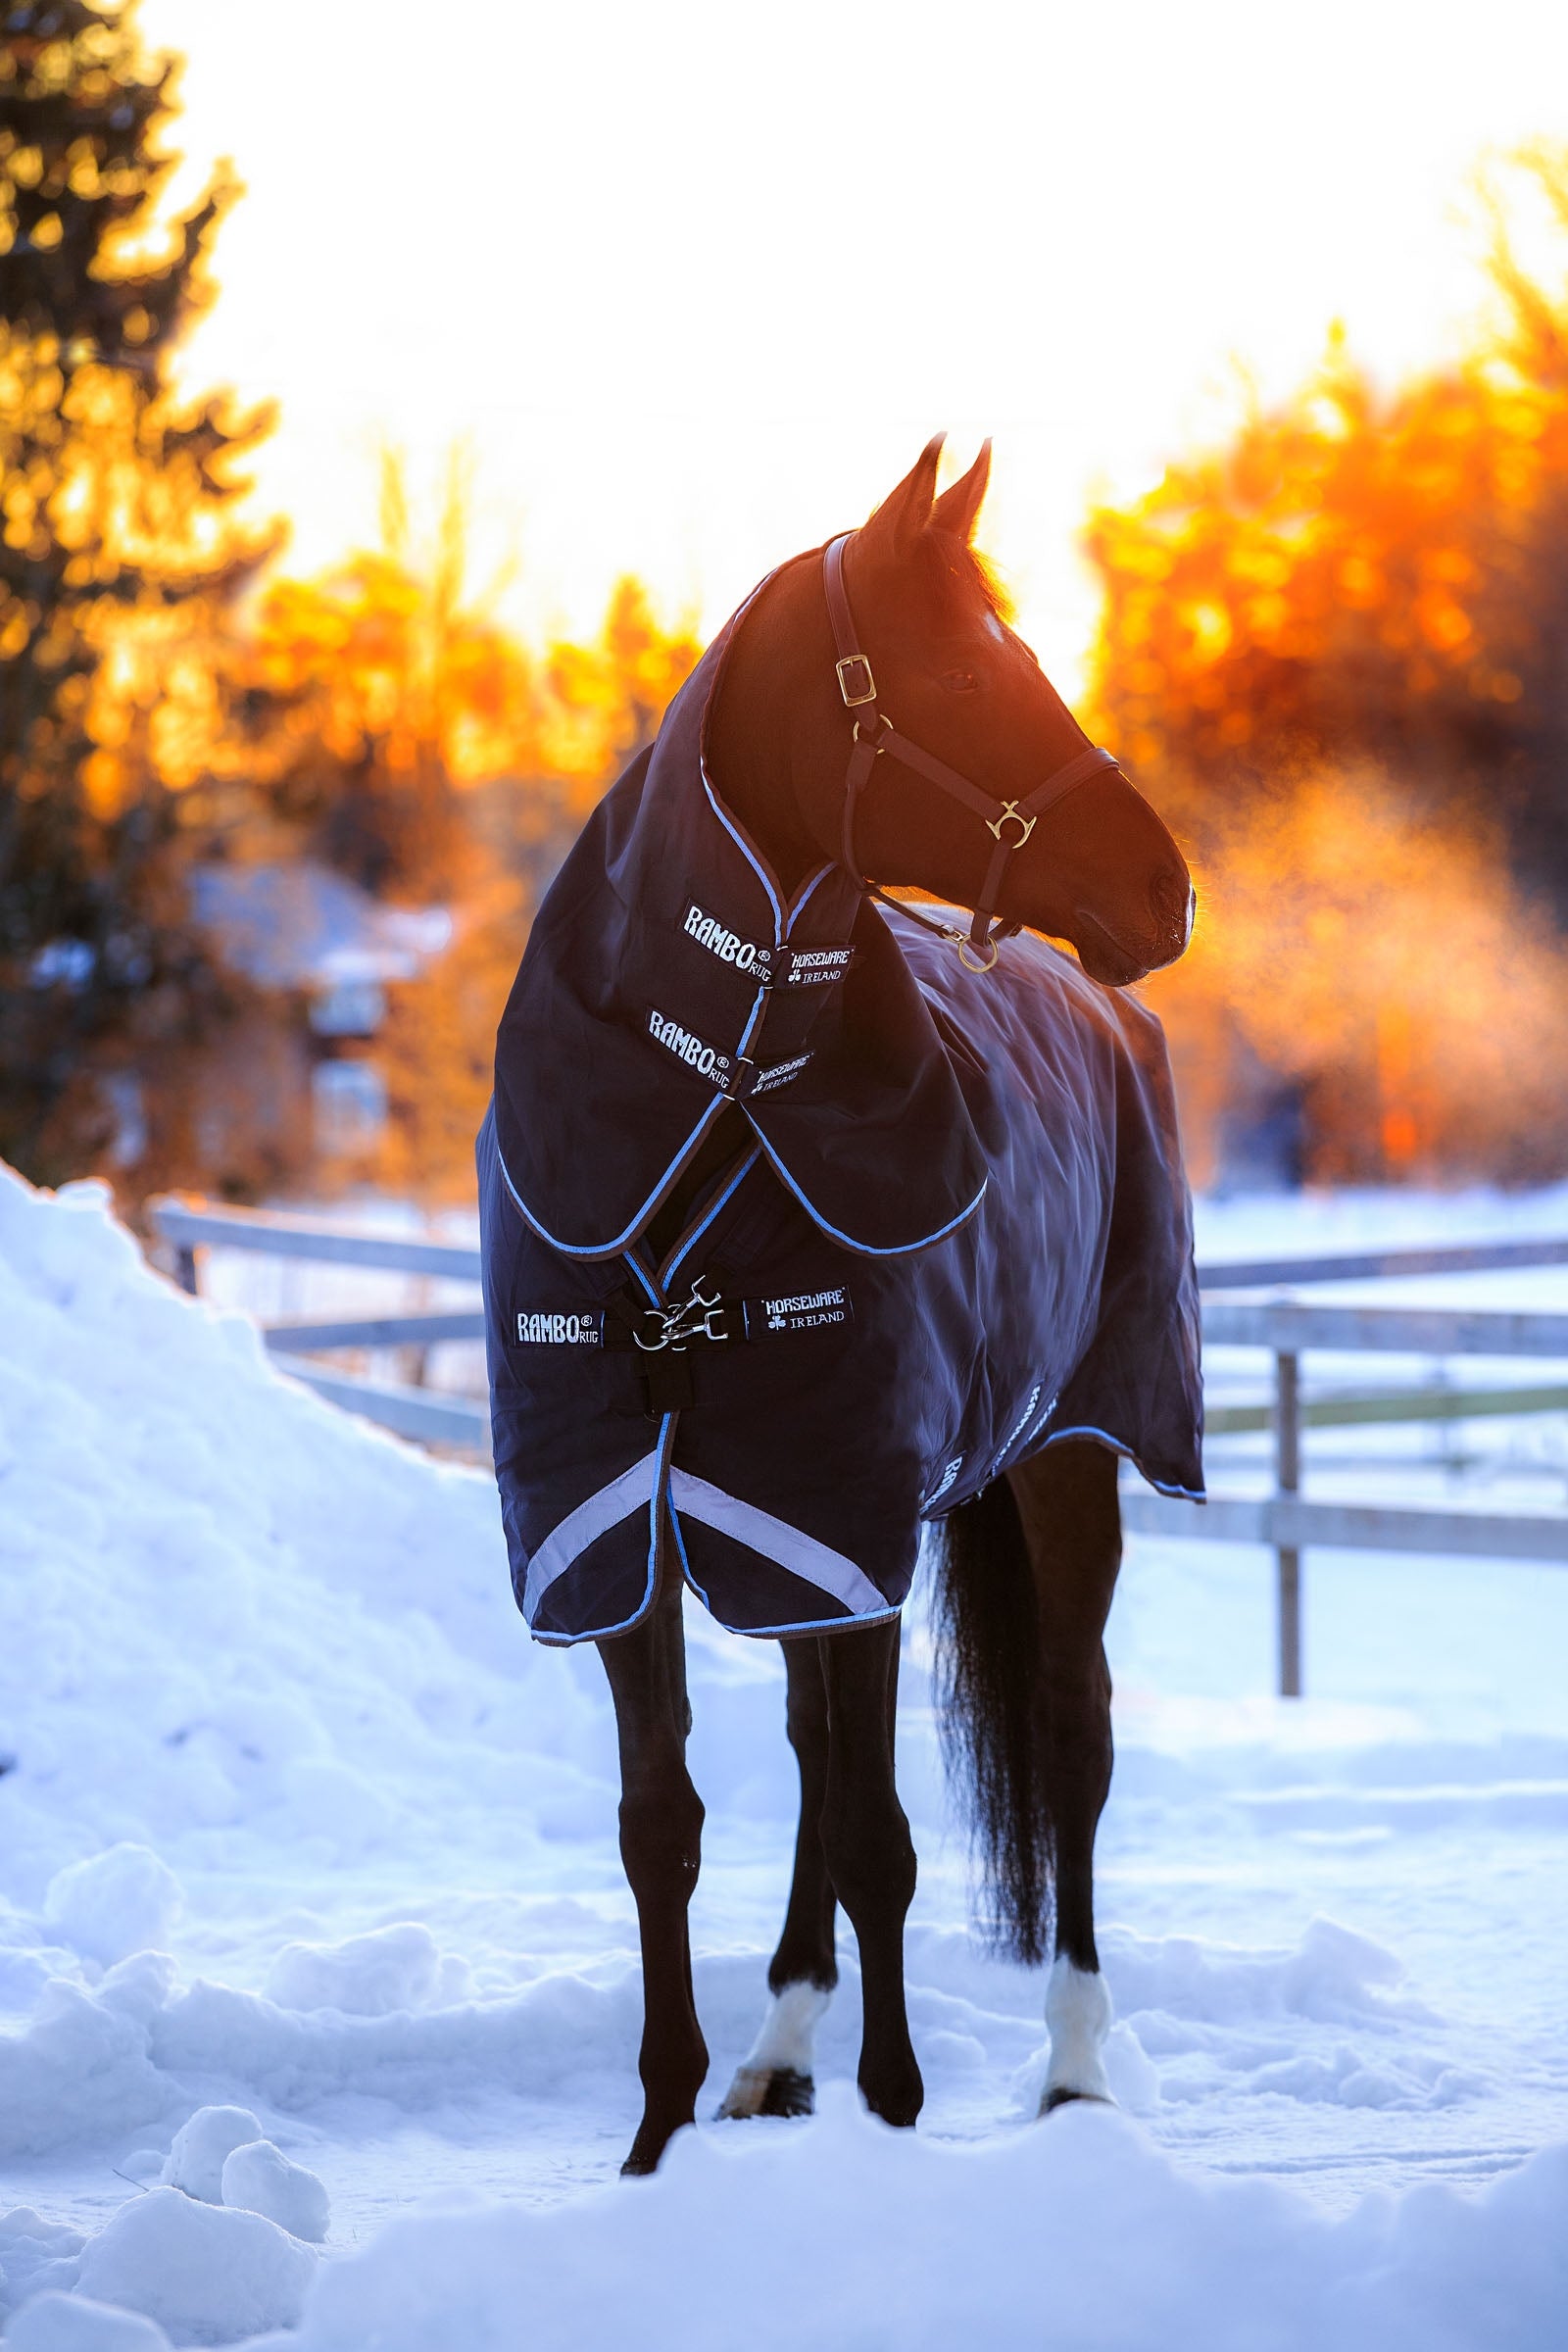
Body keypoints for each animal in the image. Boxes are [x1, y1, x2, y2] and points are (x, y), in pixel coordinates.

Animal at [477, 436, 1201, 2176]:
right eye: (966, 670)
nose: (1169, 890)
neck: (719, 1102)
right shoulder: (641, 1517)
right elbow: (664, 1826)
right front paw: (659, 2141)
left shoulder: (845, 1506)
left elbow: (882, 1837)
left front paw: (895, 2122)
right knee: (821, 1752)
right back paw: (776, 2054)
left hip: (1069, 1455)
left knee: (1073, 1734)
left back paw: (1074, 2070)